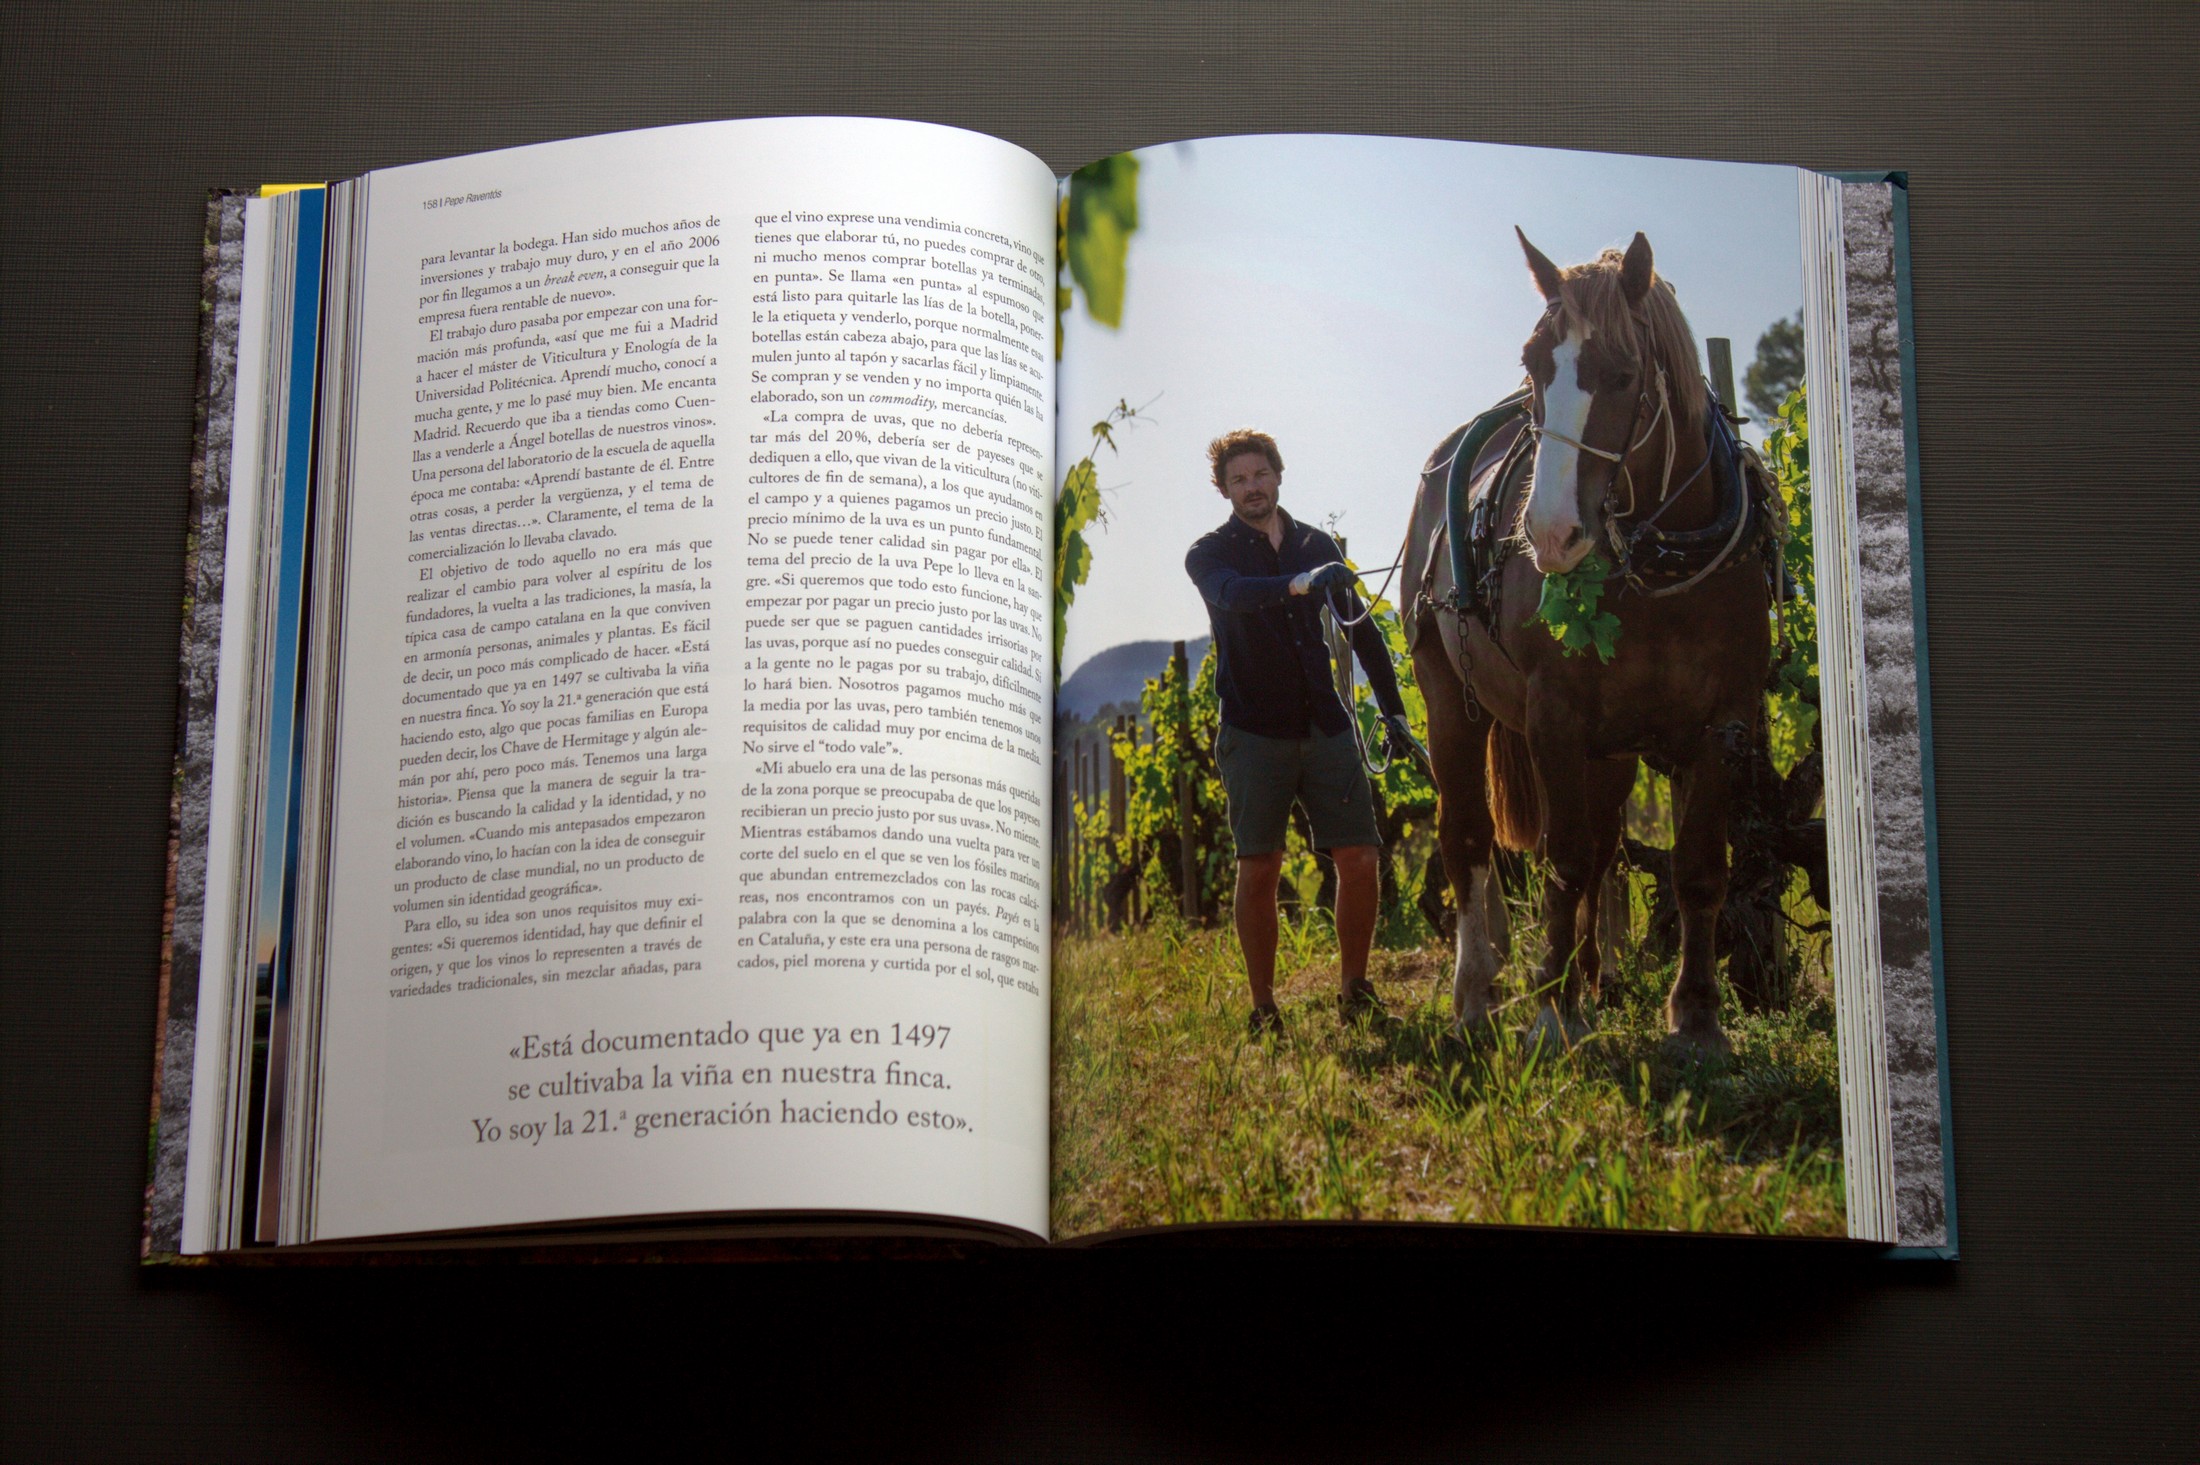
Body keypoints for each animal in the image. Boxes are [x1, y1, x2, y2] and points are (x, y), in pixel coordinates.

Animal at [1408, 230, 1768, 1051]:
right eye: (1533, 362)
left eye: (1624, 375)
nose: (1547, 534)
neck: (1663, 569)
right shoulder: (1555, 715)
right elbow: (1562, 859)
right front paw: (1548, 1007)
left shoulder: (1724, 722)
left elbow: (1697, 867)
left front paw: (1696, 1016)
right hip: (1450, 695)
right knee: (1468, 836)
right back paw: (1480, 991)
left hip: (1614, 748)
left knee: (1605, 847)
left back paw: (1591, 983)